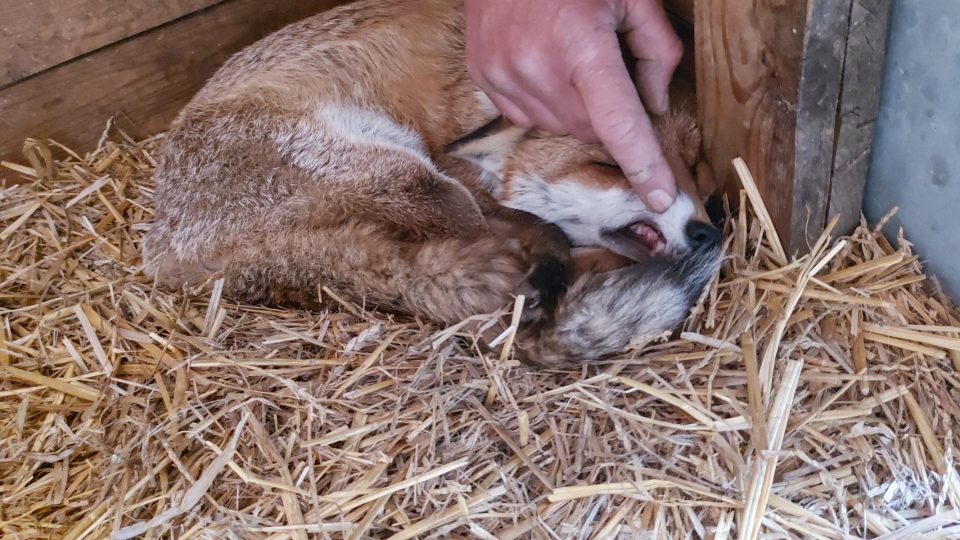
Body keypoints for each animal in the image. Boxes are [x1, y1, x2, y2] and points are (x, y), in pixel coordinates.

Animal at [142, 0, 720, 368]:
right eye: (611, 165)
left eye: (696, 163)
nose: (706, 233)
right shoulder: (458, 167)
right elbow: (532, 226)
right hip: (413, 177)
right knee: (497, 244)